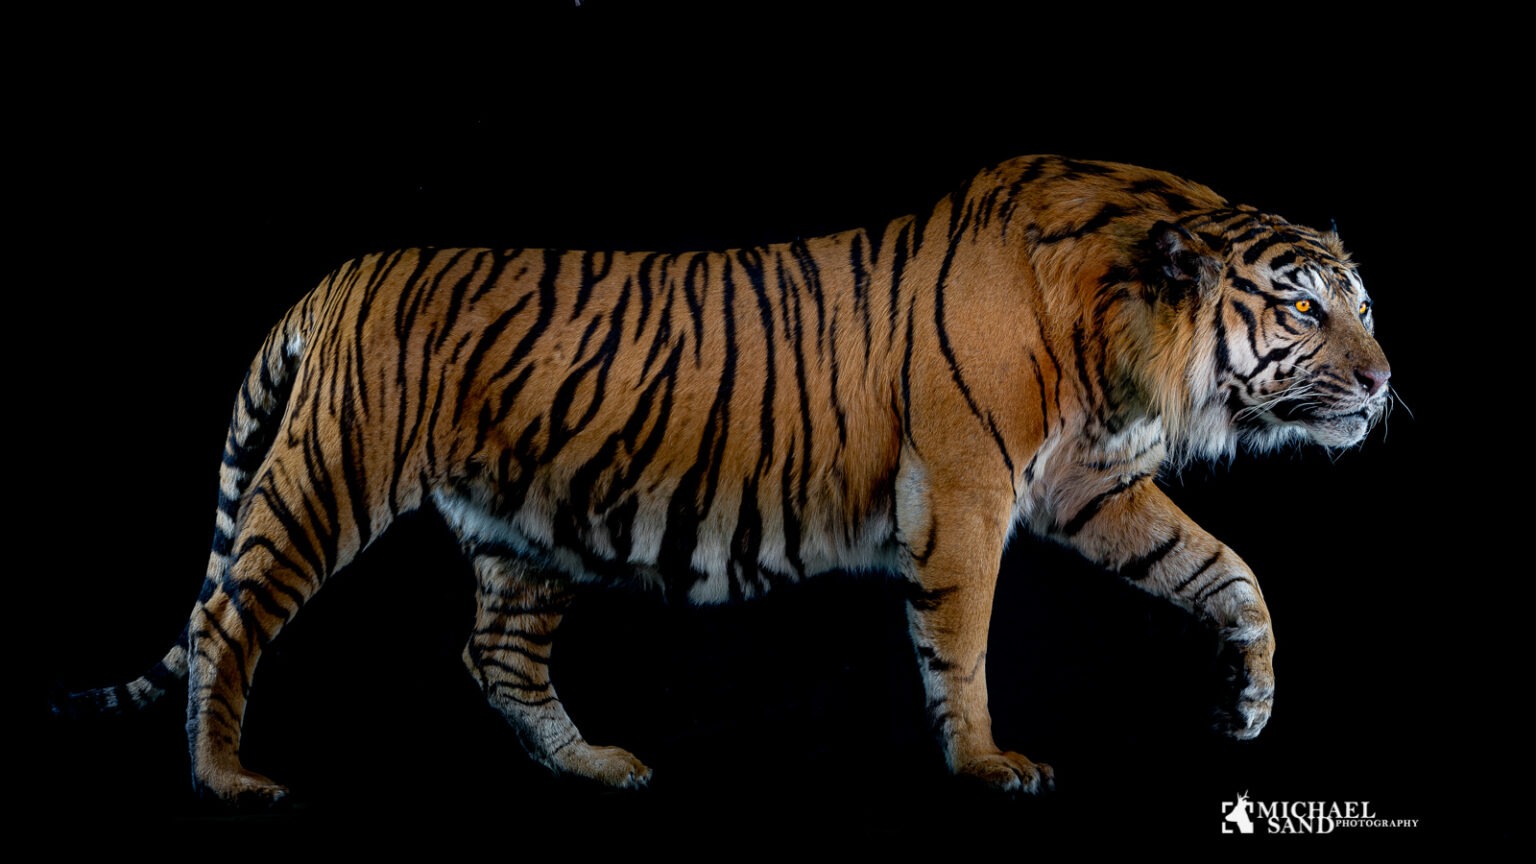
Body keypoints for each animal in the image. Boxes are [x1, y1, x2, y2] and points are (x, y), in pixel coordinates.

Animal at [57, 154, 1391, 806]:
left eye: (1365, 305)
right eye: (1301, 308)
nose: (1383, 384)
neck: (1121, 339)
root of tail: (335, 279)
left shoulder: (1088, 487)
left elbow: (1226, 572)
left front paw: (1248, 708)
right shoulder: (965, 500)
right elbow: (961, 646)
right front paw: (987, 766)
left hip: (524, 527)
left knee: (495, 655)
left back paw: (599, 768)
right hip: (331, 474)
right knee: (227, 616)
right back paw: (226, 780)